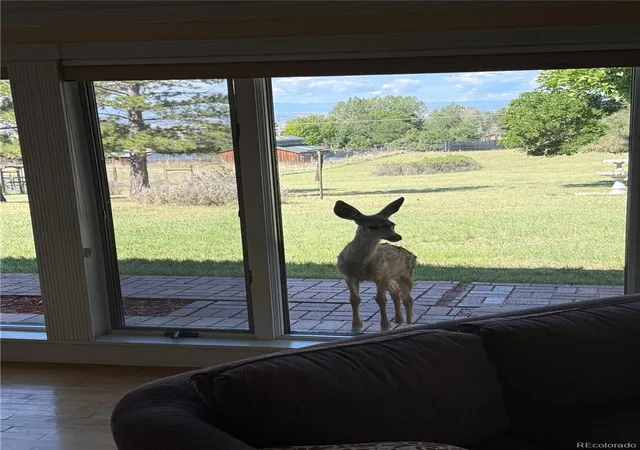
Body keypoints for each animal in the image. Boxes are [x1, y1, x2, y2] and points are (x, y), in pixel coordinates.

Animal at [334, 197, 417, 332]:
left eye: (392, 225)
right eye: (372, 226)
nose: (397, 236)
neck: (361, 265)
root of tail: (413, 255)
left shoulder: (381, 275)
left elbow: (381, 300)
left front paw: (385, 326)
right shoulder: (348, 276)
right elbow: (354, 300)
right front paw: (356, 326)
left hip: (406, 275)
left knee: (408, 299)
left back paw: (408, 323)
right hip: (390, 278)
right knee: (396, 293)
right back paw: (398, 320)